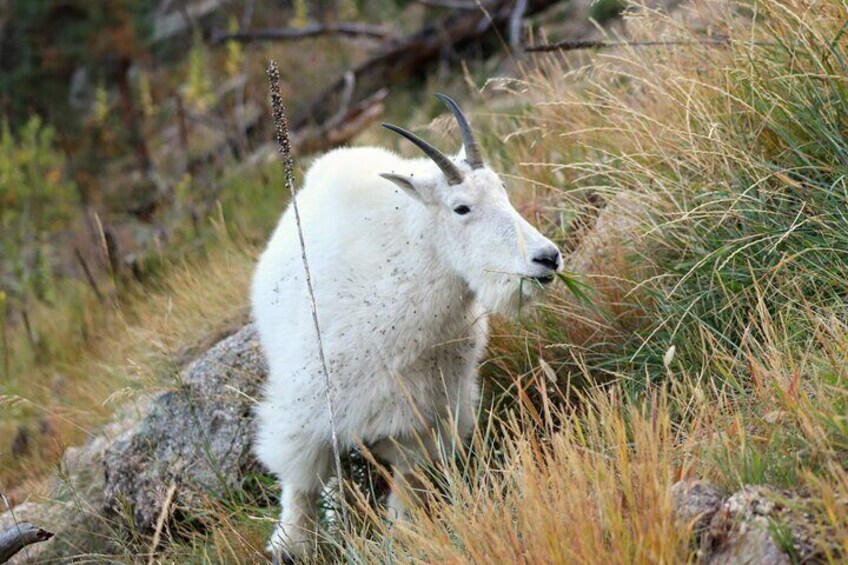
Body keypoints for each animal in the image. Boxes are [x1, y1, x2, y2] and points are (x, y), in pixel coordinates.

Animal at [248, 94, 560, 556]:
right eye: (461, 207)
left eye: (503, 190)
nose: (547, 258)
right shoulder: (308, 409)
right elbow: (301, 481)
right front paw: (290, 546)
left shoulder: (427, 418)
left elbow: (407, 487)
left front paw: (403, 536)